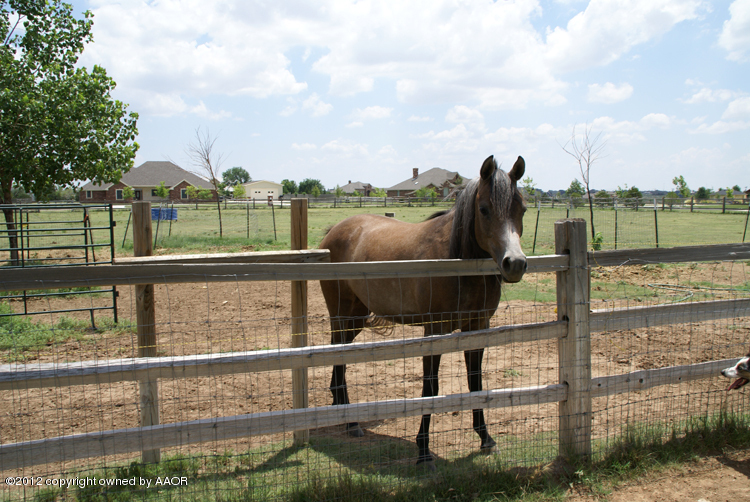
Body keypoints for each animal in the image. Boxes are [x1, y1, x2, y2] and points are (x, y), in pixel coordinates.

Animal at [319, 155, 527, 469]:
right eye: (484, 209)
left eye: (522, 209)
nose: (514, 263)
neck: (456, 262)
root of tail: (334, 231)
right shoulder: (434, 331)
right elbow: (430, 388)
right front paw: (423, 450)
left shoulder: (478, 327)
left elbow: (476, 382)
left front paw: (486, 438)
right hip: (342, 315)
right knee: (338, 355)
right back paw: (350, 421)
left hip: (355, 317)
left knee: (338, 354)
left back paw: (341, 408)